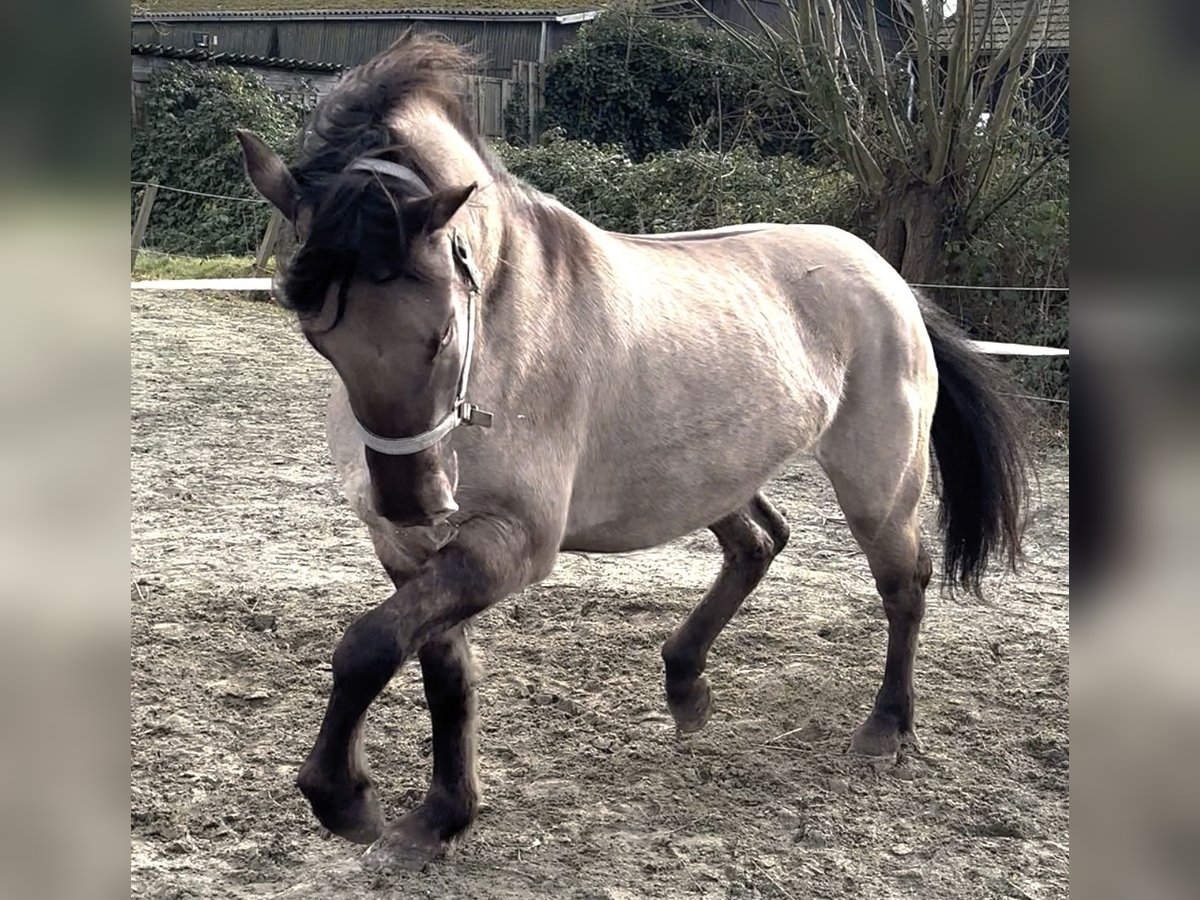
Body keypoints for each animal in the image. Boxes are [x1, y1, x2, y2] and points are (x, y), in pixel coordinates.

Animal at [236, 35, 1032, 873]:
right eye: (317, 334)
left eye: (443, 331)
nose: (414, 499)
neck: (509, 315)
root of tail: (890, 280)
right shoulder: (408, 552)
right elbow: (439, 674)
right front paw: (440, 818)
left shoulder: (511, 545)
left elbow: (367, 645)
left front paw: (345, 799)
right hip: (709, 476)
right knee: (760, 542)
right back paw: (686, 687)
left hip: (878, 486)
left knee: (902, 585)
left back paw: (885, 729)